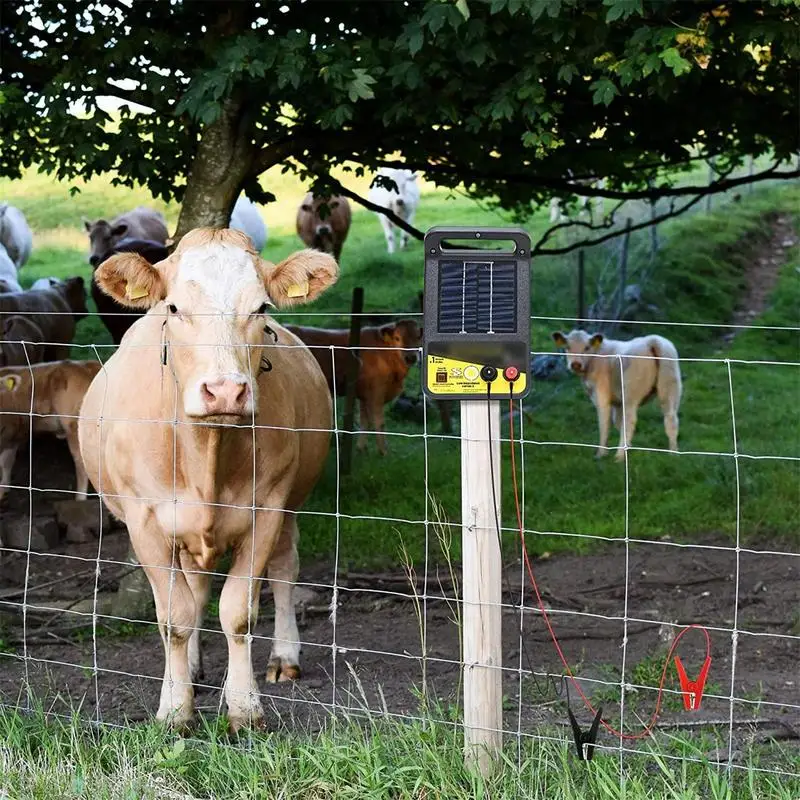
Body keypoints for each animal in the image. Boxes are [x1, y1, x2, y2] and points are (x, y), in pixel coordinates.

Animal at [81, 227, 340, 732]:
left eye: (261, 308)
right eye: (174, 307)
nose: (224, 391)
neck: (208, 454)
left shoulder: (267, 509)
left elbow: (238, 612)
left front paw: (244, 708)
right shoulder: (145, 522)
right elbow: (174, 616)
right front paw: (175, 707)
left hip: (291, 505)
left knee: (284, 571)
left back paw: (284, 657)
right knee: (195, 590)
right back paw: (194, 669)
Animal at [288, 318, 424, 456]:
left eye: (418, 337)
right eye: (397, 338)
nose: (411, 357)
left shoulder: (364, 394)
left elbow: (365, 421)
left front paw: (361, 448)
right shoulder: (377, 391)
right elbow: (379, 422)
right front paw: (384, 452)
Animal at [556, 326, 680, 462]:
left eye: (587, 347)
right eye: (567, 346)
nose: (575, 364)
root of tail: (652, 340)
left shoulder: (602, 397)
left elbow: (605, 424)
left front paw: (601, 454)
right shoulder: (618, 402)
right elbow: (618, 422)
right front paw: (629, 447)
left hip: (631, 394)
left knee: (629, 421)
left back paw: (619, 456)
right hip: (670, 387)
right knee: (671, 419)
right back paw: (673, 453)